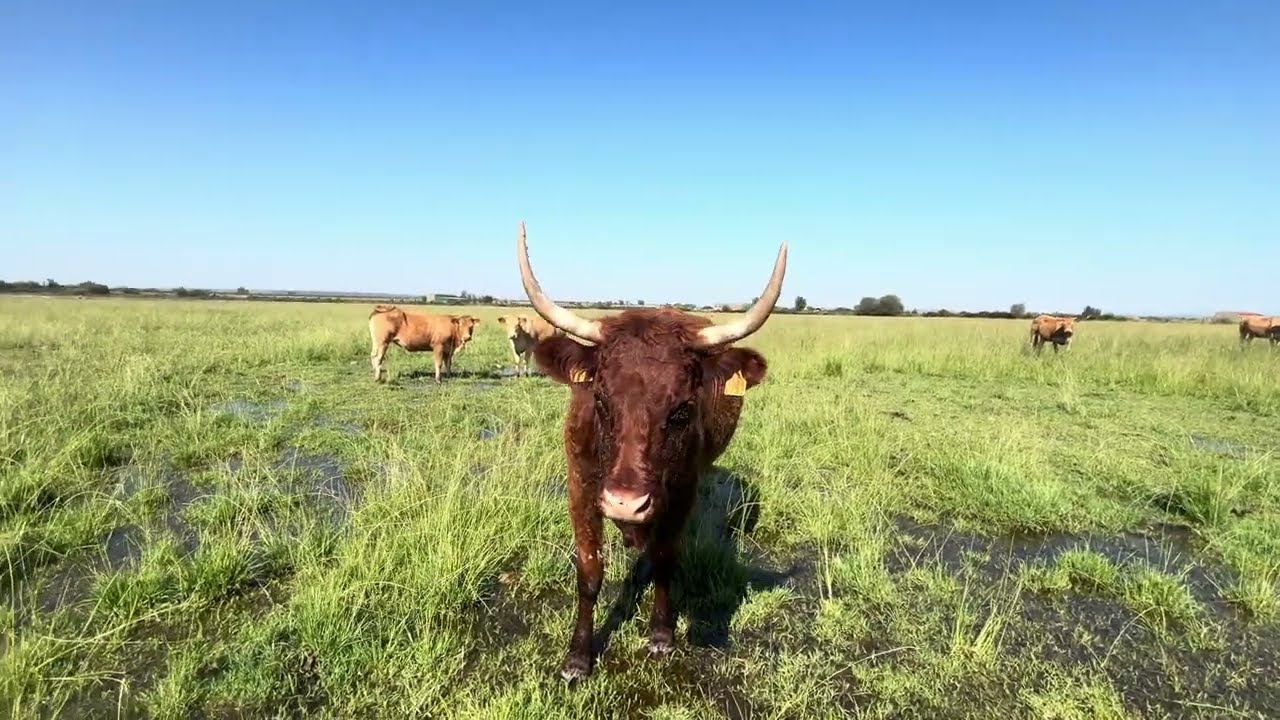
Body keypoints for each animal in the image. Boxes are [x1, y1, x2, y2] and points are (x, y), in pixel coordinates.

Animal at [514, 221, 786, 681]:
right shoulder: (580, 489)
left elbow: (663, 558)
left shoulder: (681, 492)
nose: (625, 502)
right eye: (600, 399)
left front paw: (661, 633)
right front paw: (578, 657)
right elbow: (590, 572)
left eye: (682, 410)